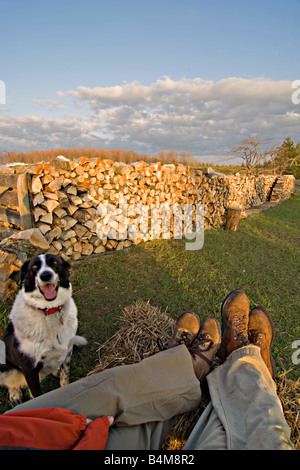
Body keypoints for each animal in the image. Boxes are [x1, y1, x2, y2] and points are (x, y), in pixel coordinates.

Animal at [0, 253, 86, 404]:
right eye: (34, 267)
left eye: (55, 263)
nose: (45, 275)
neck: (49, 310)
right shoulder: (29, 368)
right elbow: (37, 395)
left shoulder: (67, 351)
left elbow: (65, 378)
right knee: (9, 382)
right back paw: (15, 393)